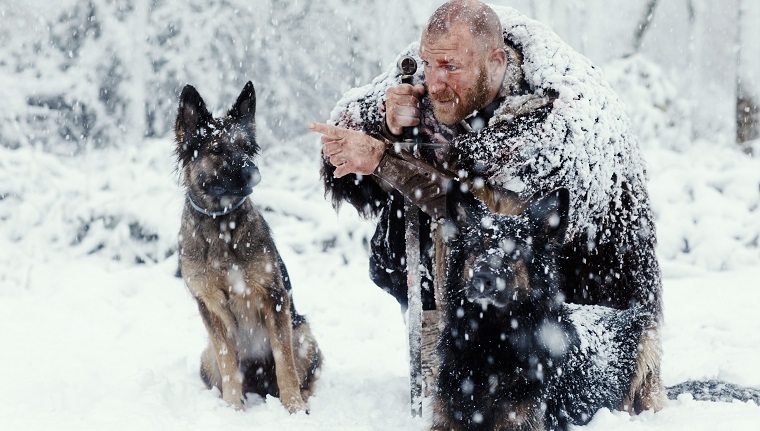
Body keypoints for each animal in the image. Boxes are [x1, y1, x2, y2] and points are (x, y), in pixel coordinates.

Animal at [175, 82, 320, 416]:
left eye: (245, 147)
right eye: (217, 149)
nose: (253, 173)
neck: (221, 225)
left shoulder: (274, 298)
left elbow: (285, 363)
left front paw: (294, 409)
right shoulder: (210, 306)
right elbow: (229, 365)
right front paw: (233, 410)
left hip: (303, 334)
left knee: (302, 375)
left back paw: (303, 400)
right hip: (206, 357)